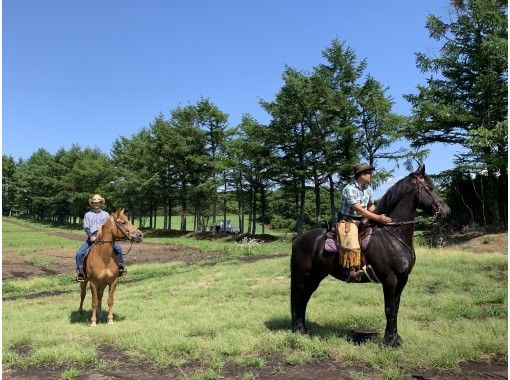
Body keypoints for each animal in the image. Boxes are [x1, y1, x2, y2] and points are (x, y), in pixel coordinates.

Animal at [290, 164, 450, 348]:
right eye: (429, 188)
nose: (447, 211)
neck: (393, 236)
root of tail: (298, 240)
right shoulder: (390, 279)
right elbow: (389, 309)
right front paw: (389, 341)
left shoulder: (402, 279)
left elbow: (396, 307)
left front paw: (396, 338)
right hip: (304, 275)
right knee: (300, 297)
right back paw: (298, 330)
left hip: (316, 276)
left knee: (304, 298)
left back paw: (303, 329)